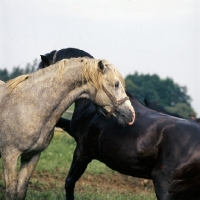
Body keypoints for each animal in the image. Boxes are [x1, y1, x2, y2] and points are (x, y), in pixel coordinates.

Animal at [0, 57, 136, 199]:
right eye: (116, 84)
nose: (132, 115)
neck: (29, 106)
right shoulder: (9, 157)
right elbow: (11, 193)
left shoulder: (32, 156)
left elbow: (21, 191)